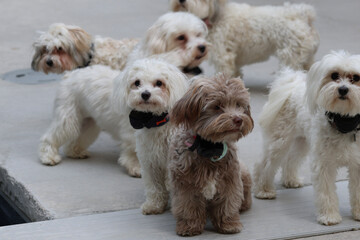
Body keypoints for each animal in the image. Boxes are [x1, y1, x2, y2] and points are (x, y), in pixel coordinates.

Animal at [118, 58, 190, 216]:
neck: (156, 122)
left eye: (159, 83)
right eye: (137, 82)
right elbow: (154, 187)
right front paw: (154, 206)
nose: (145, 94)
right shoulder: (150, 162)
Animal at [170, 0, 320, 76]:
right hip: (305, 58)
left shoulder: (223, 56)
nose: (181, 0)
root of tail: (302, 15)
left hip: (290, 58)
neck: (216, 17)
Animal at [253, 51, 360, 226]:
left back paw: (290, 180)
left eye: (356, 78)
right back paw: (263, 189)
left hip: (301, 141)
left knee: (291, 159)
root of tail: (292, 83)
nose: (343, 89)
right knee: (264, 164)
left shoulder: (358, 164)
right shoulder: (324, 164)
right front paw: (329, 216)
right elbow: (326, 192)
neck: (344, 121)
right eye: (334, 75)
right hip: (279, 141)